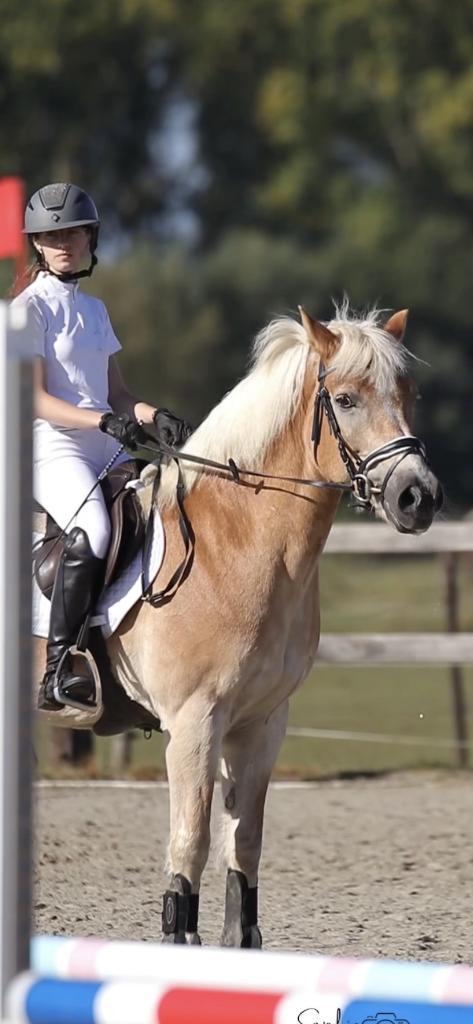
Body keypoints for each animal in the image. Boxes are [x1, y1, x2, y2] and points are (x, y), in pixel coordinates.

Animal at [34, 303, 442, 946]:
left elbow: (243, 841)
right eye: (346, 400)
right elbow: (191, 841)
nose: (417, 497)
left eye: (409, 393)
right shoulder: (194, 722)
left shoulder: (262, 722)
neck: (238, 545)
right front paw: (180, 936)